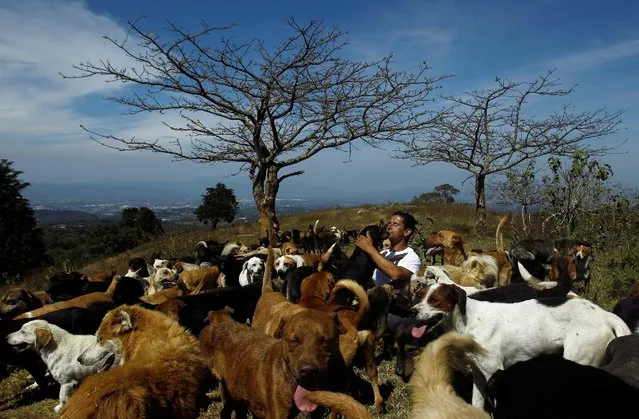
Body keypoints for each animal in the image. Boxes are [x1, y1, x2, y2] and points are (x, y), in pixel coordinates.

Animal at [412, 284, 632, 408]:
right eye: (419, 296)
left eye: (434, 300)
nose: (412, 311)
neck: (468, 319)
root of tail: (604, 314)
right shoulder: (479, 374)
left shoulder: (495, 373)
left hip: (579, 362)